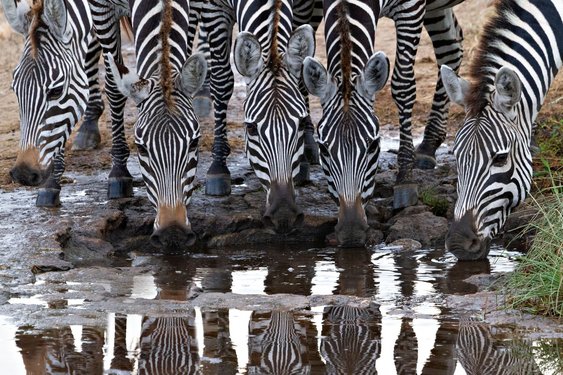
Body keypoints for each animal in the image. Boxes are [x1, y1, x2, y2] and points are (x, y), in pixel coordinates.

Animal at [194, 0, 318, 234]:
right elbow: (222, 80)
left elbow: (301, 76)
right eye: (250, 128)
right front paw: (218, 166)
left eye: (299, 123)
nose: (284, 217)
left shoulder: (304, 6)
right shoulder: (212, 8)